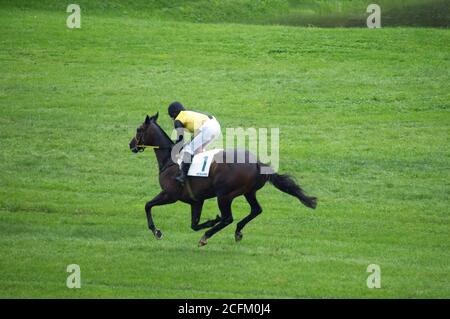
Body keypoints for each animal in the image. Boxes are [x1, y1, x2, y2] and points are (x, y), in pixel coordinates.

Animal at [128, 112, 314, 248]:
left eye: (138, 129)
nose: (131, 145)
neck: (169, 160)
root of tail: (257, 163)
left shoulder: (170, 195)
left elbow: (147, 205)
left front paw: (156, 231)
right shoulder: (196, 201)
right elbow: (194, 224)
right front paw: (211, 221)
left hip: (224, 195)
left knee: (228, 218)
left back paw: (207, 236)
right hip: (248, 192)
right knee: (256, 210)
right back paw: (237, 231)